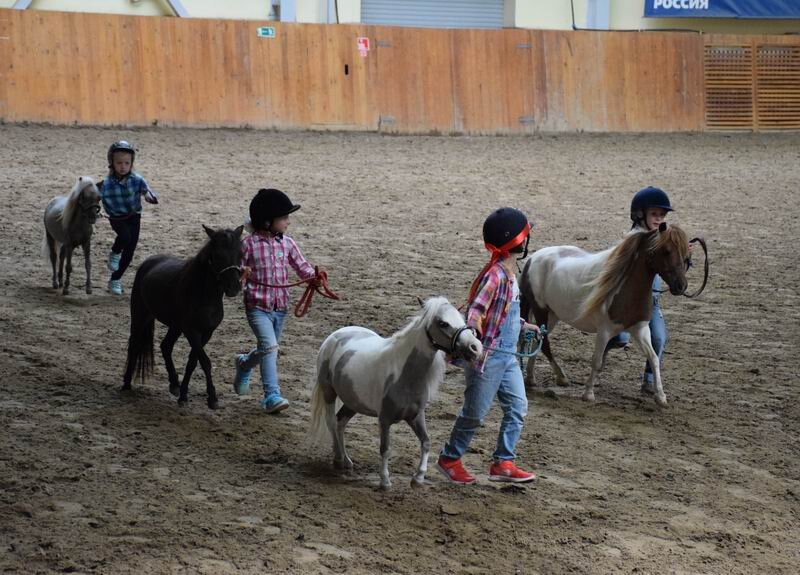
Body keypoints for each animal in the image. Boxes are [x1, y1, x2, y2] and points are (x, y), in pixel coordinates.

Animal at [308, 296, 482, 490]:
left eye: (462, 319)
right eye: (443, 323)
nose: (476, 348)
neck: (404, 375)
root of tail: (336, 335)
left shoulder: (416, 416)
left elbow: (426, 442)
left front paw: (418, 478)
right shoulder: (384, 419)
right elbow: (385, 448)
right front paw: (385, 481)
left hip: (353, 401)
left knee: (340, 423)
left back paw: (346, 461)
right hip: (329, 392)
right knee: (331, 421)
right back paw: (338, 460)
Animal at [520, 223, 688, 408]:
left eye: (686, 252)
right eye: (666, 251)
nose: (681, 286)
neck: (625, 288)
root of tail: (533, 258)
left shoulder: (640, 330)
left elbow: (654, 358)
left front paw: (661, 397)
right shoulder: (604, 331)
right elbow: (597, 361)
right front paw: (588, 394)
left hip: (552, 315)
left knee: (537, 340)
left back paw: (531, 378)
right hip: (540, 310)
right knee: (544, 343)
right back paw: (561, 377)